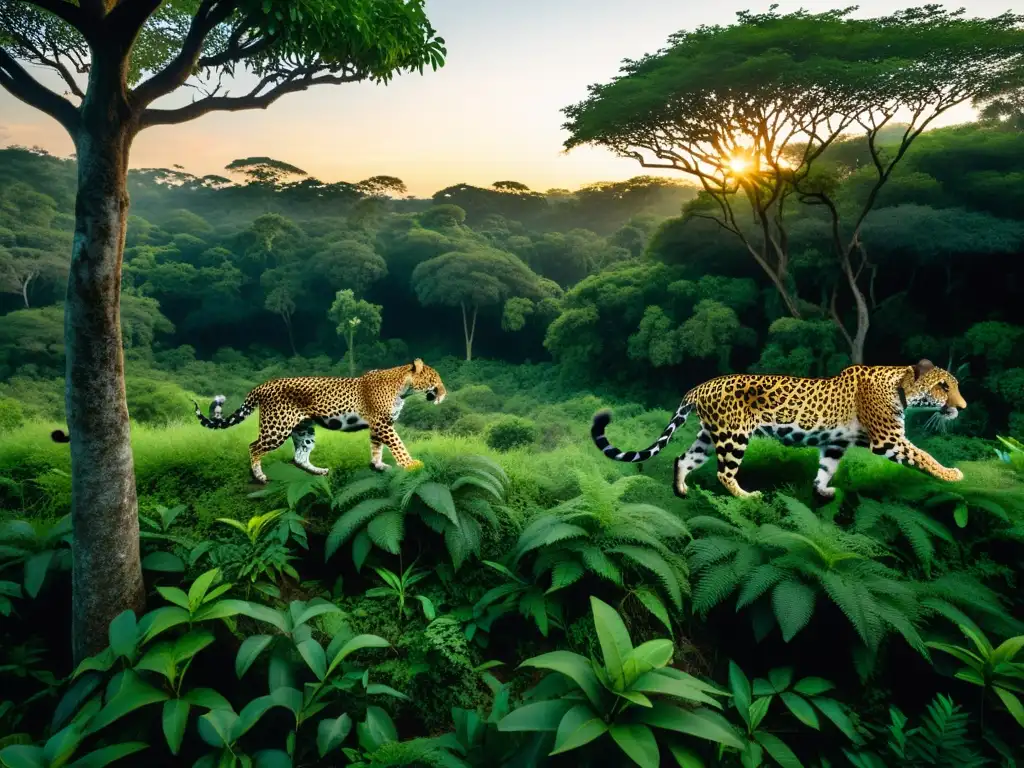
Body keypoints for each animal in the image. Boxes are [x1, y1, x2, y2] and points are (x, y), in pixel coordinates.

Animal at [593, 360, 966, 501]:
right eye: (944, 387)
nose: (962, 407)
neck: (898, 387)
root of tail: (700, 386)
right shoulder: (888, 440)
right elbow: (924, 456)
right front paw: (951, 474)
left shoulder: (835, 444)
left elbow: (826, 468)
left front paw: (822, 491)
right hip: (734, 436)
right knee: (723, 473)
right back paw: (747, 497)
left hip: (709, 435)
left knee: (683, 458)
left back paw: (681, 490)